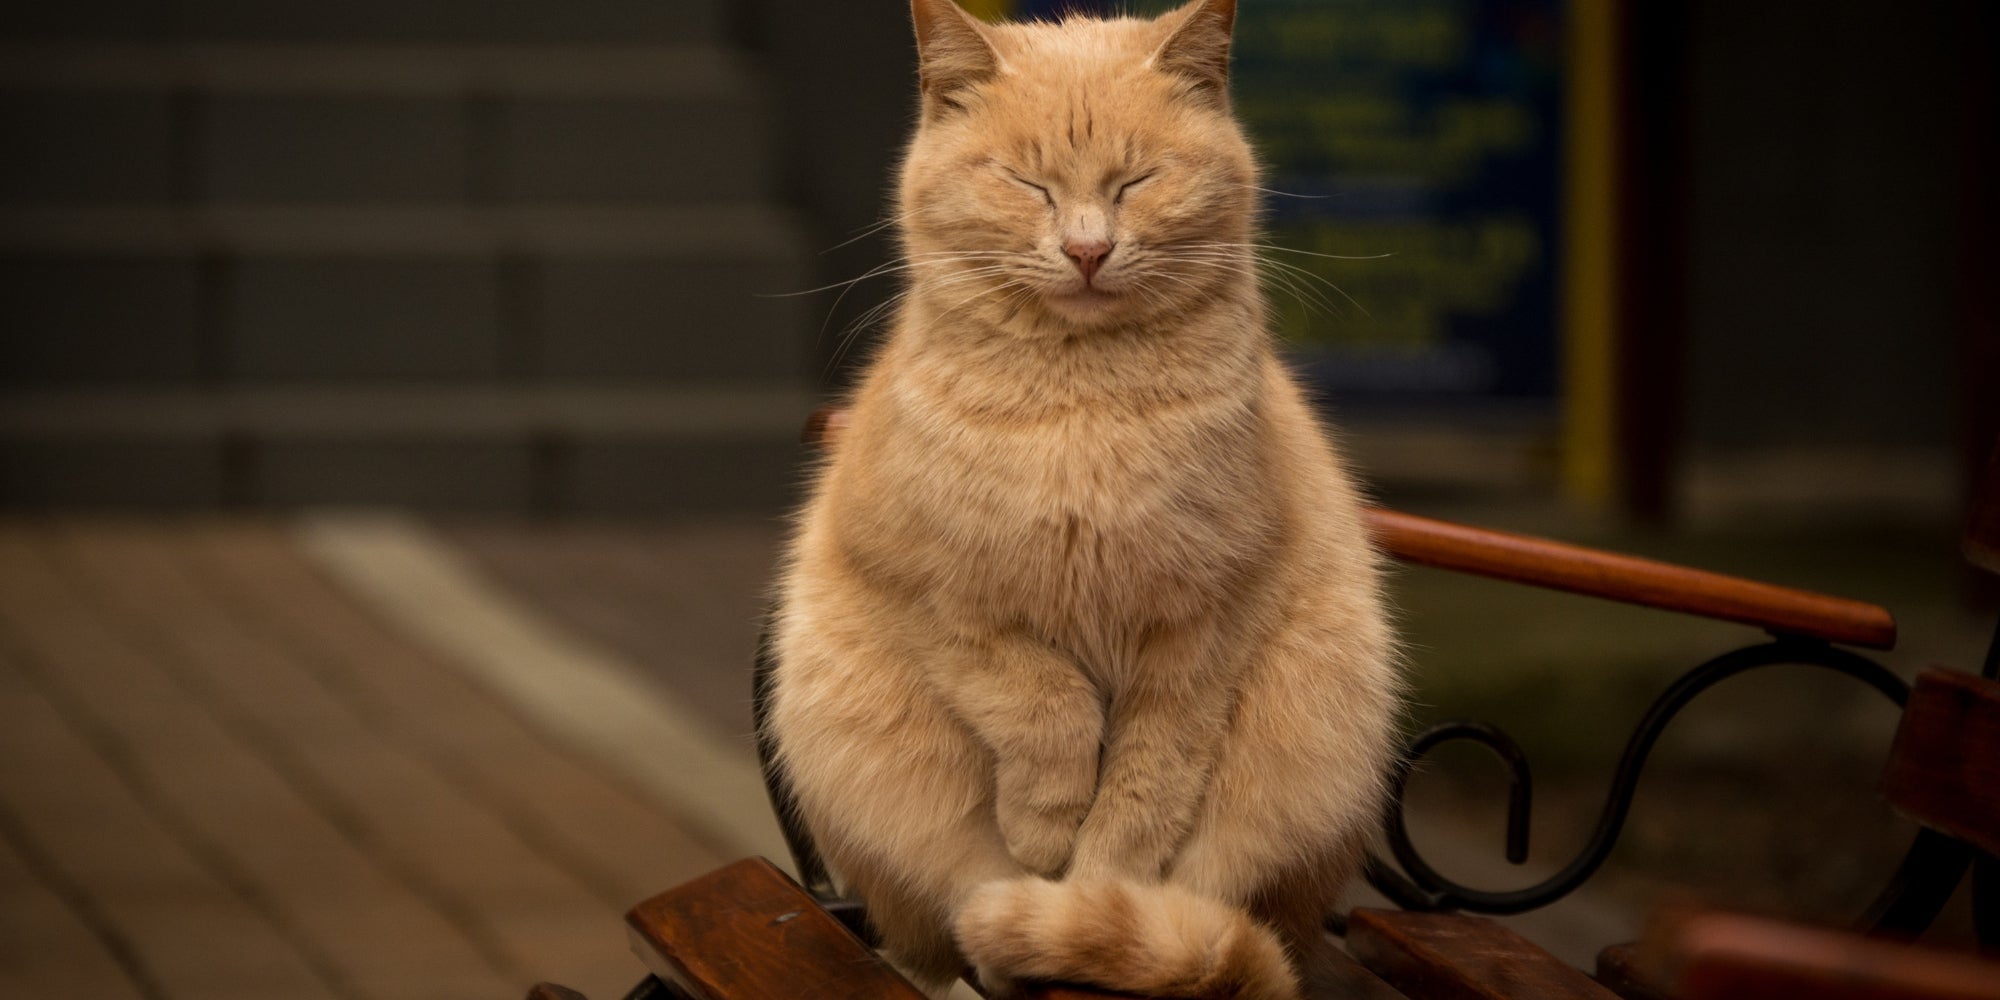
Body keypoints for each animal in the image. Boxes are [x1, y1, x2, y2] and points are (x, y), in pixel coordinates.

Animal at [764, 3, 1408, 996]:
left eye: (1135, 180)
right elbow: (1046, 706)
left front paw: (1094, 883)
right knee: (928, 941)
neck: (1083, 409)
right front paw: (1041, 836)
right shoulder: (933, 600)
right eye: (1027, 183)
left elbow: (1144, 789)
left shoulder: (1204, 629)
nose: (1088, 248)